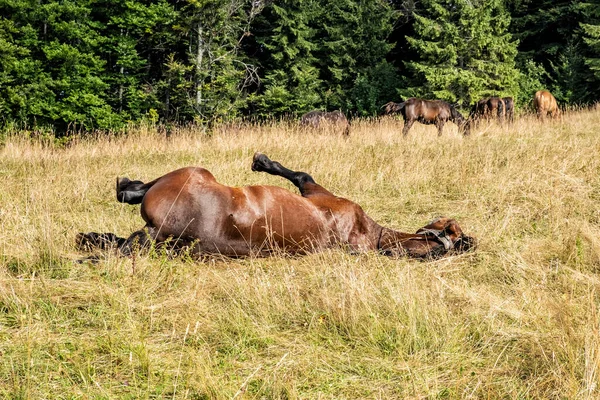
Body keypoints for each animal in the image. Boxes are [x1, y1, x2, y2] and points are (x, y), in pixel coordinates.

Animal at [77, 153, 476, 260]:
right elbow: (299, 172)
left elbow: (301, 173)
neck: (369, 234)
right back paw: (91, 237)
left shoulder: (317, 192)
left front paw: (262, 161)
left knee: (129, 218)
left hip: (191, 173)